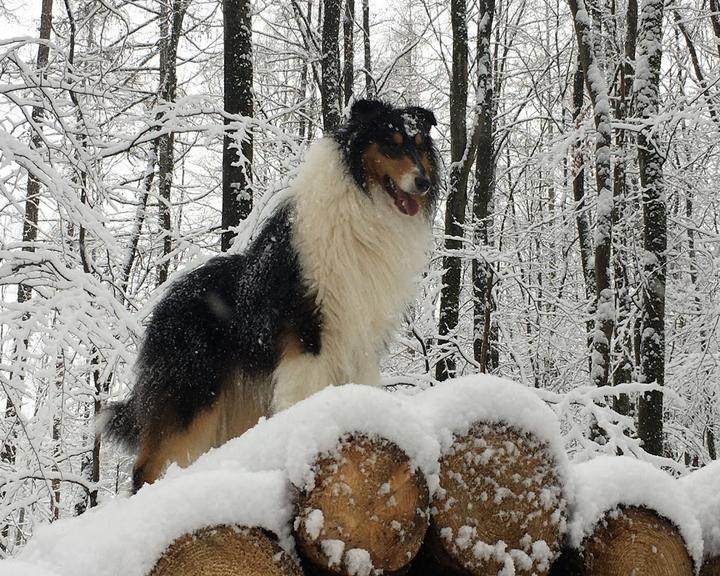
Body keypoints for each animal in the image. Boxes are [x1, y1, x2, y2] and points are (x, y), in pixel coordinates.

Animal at [105, 99, 438, 490]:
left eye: (419, 144)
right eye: (391, 144)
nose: (423, 182)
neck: (366, 204)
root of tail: (165, 303)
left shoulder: (362, 339)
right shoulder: (308, 337)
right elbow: (305, 395)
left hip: (236, 406)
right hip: (191, 394)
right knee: (146, 467)